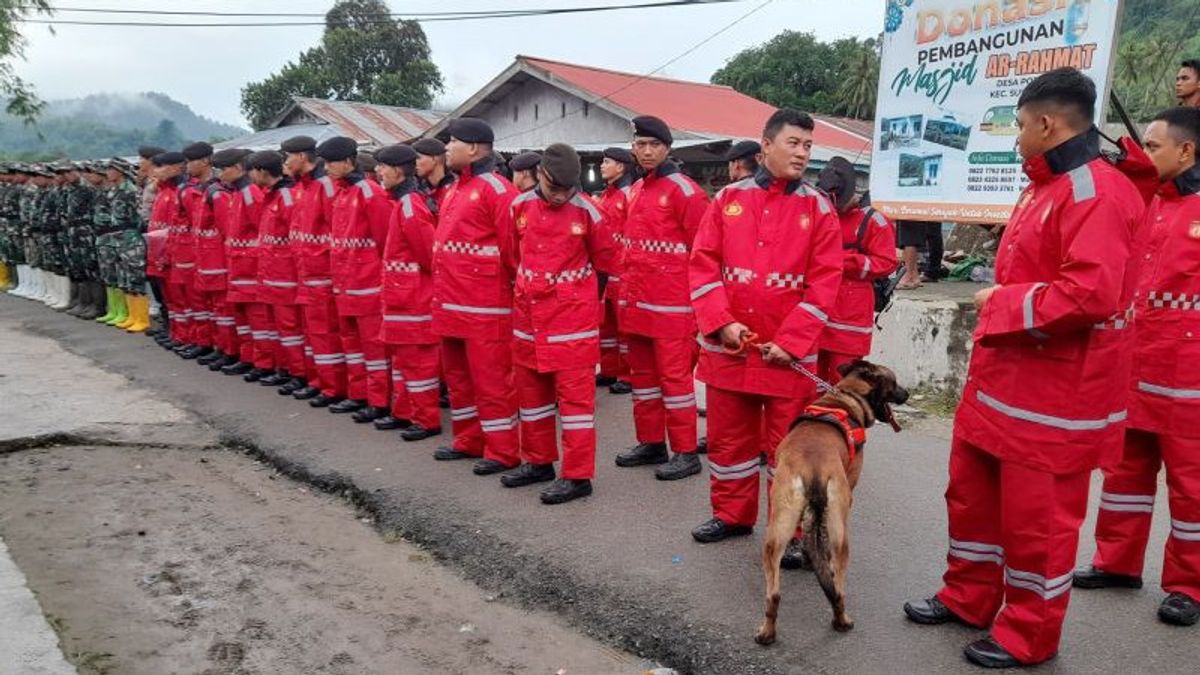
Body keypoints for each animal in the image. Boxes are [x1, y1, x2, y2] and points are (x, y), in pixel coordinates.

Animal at [753, 357, 902, 638]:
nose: (907, 393)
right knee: (838, 588)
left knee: (774, 593)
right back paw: (841, 621)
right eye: (895, 382)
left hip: (777, 528)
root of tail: (814, 467)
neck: (846, 395)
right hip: (840, 532)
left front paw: (808, 559)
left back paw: (766, 633)